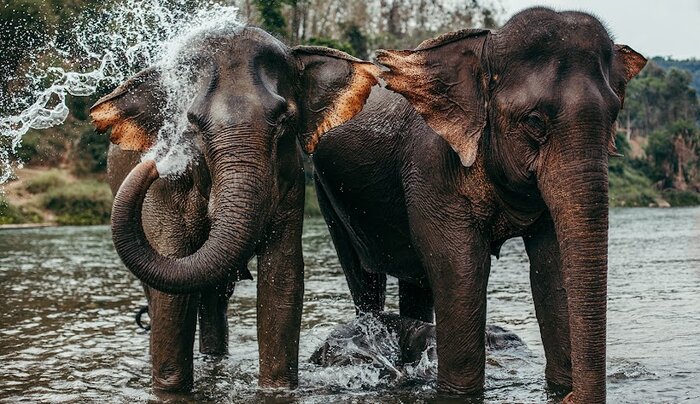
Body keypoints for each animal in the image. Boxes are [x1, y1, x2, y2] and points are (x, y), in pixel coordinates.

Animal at [89, 27, 379, 393]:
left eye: (284, 120)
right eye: (192, 124)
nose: (157, 162)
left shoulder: (290, 182)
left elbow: (282, 278)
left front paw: (276, 389)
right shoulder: (164, 193)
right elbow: (171, 290)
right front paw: (169, 389)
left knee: (215, 297)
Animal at [311, 7, 646, 402]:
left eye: (614, 117)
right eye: (534, 121)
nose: (570, 397)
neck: (487, 46)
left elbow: (552, 265)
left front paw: (561, 385)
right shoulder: (431, 166)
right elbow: (460, 264)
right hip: (326, 193)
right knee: (365, 279)